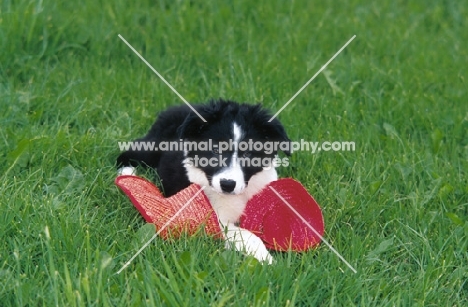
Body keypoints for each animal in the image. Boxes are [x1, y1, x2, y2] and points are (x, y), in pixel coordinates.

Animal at [117, 99, 290, 264]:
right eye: (215, 150)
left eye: (247, 154)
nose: (227, 184)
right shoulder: (211, 219)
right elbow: (245, 234)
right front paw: (265, 258)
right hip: (151, 147)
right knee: (127, 153)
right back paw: (128, 174)